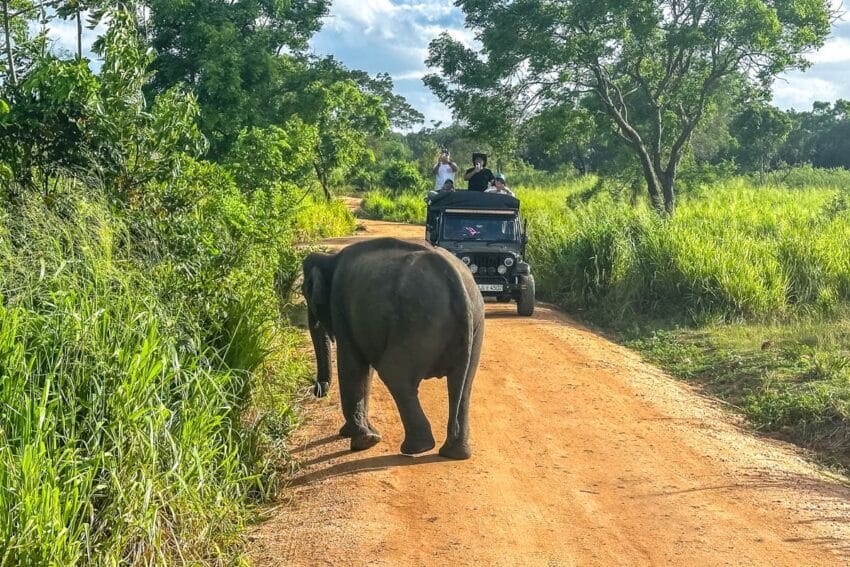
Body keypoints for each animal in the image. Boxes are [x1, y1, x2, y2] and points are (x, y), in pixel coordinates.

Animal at [301, 237, 485, 460]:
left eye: (305, 292)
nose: (318, 390)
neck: (329, 258)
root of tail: (455, 278)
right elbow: (365, 373)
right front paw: (363, 434)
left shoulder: (340, 307)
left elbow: (352, 368)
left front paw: (364, 441)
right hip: (473, 325)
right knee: (464, 383)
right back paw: (454, 453)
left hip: (417, 323)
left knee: (393, 374)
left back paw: (417, 448)